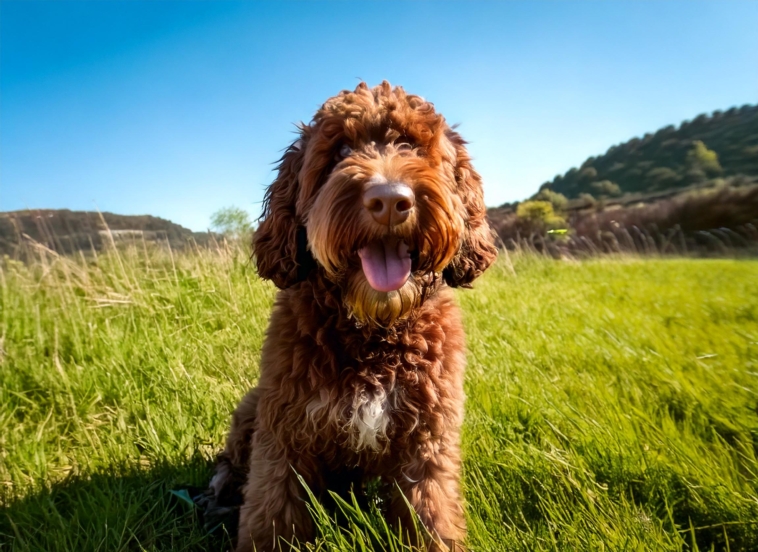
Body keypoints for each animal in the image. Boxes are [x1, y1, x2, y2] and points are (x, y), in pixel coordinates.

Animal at [197, 82, 498, 552]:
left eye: (414, 147)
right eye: (340, 150)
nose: (390, 200)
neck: (372, 332)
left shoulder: (428, 438)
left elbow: (430, 511)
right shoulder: (284, 430)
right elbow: (274, 509)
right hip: (252, 404)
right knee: (231, 462)